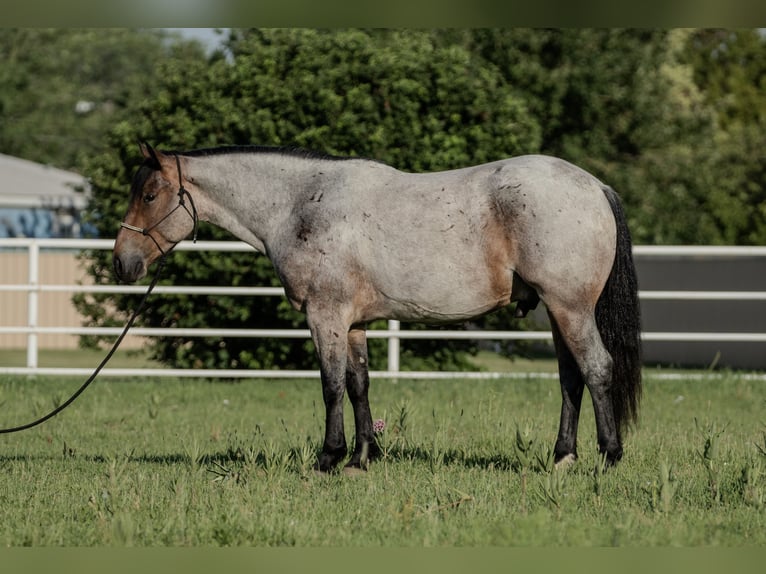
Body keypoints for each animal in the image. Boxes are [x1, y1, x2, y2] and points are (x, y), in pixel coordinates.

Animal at [114, 145, 640, 476]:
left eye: (150, 195)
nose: (122, 263)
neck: (300, 204)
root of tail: (595, 187)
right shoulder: (355, 324)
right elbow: (358, 385)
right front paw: (362, 457)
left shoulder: (324, 318)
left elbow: (330, 387)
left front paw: (329, 458)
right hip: (557, 313)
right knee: (571, 379)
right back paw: (563, 458)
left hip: (570, 308)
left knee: (597, 369)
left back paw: (609, 458)